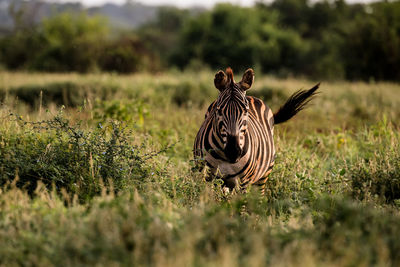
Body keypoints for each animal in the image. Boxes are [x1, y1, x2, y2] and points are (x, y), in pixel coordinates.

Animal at [192, 67, 320, 193]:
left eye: (246, 110)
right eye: (218, 110)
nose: (233, 152)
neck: (225, 158)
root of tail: (252, 96)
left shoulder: (243, 182)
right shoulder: (208, 177)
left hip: (263, 175)